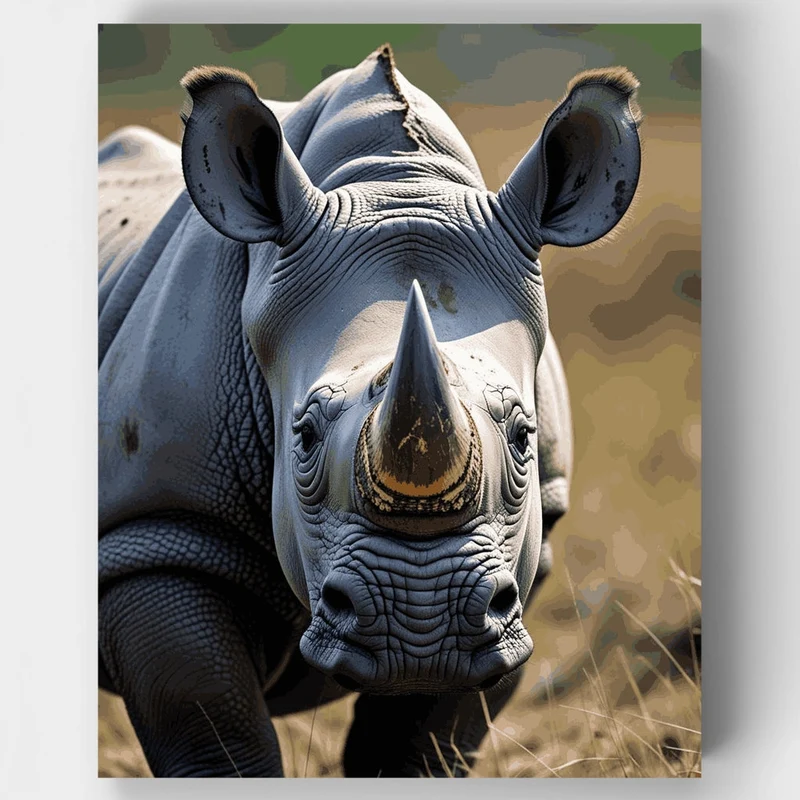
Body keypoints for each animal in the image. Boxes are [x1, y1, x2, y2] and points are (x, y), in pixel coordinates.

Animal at [98, 45, 641, 777]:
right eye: (301, 437)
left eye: (524, 437)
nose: (421, 619)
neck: (396, 179)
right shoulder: (160, 526)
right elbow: (217, 740)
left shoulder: (525, 561)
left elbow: (420, 745)